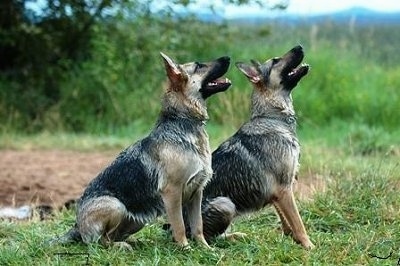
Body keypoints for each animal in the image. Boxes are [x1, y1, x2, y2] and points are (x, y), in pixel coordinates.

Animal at [50, 52, 231, 249]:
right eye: (199, 66)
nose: (228, 57)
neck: (184, 122)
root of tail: (77, 226)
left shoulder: (196, 193)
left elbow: (198, 225)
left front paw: (205, 248)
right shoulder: (172, 193)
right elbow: (180, 226)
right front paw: (185, 248)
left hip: (138, 219)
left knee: (114, 235)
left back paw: (135, 242)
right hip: (116, 206)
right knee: (101, 241)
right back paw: (122, 246)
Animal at [197, 45, 316, 249]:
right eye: (276, 61)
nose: (300, 46)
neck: (272, 118)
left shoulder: (279, 192)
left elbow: (286, 220)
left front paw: (291, 238)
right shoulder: (285, 189)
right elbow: (298, 223)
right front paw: (309, 246)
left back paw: (236, 236)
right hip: (225, 205)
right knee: (205, 237)